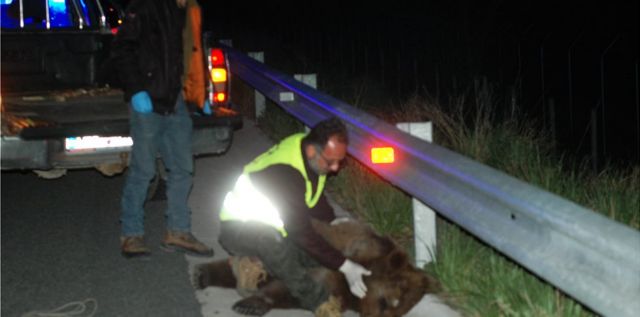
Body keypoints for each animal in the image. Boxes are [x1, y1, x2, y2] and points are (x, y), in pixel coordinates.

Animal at [192, 217, 438, 316]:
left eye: (398, 310)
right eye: (386, 303)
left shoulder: (337, 289)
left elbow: (296, 293)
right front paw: (249, 305)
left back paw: (204, 275)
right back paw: (204, 274)